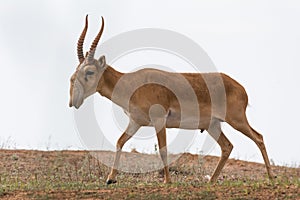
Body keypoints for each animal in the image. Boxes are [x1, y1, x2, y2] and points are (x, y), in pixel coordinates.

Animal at [69, 15, 274, 184]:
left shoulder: (159, 120)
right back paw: (211, 181)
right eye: (76, 71)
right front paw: (110, 179)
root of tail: (240, 88)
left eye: (90, 71)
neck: (132, 83)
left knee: (259, 137)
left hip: (236, 120)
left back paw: (271, 177)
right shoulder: (136, 122)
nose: (73, 101)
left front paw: (167, 181)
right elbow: (120, 142)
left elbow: (163, 149)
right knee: (227, 147)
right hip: (213, 125)